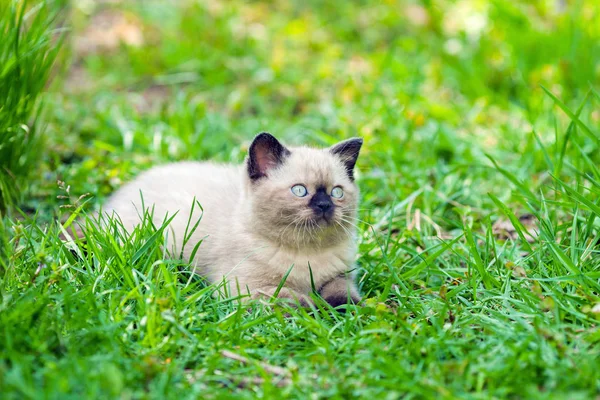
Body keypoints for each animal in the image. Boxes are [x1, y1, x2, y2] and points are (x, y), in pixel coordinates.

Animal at [101, 133, 364, 304]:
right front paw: (311, 309)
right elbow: (287, 297)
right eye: (299, 191)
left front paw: (343, 310)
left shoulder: (341, 276)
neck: (306, 254)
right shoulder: (243, 286)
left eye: (336, 193)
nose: (324, 205)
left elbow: (343, 294)